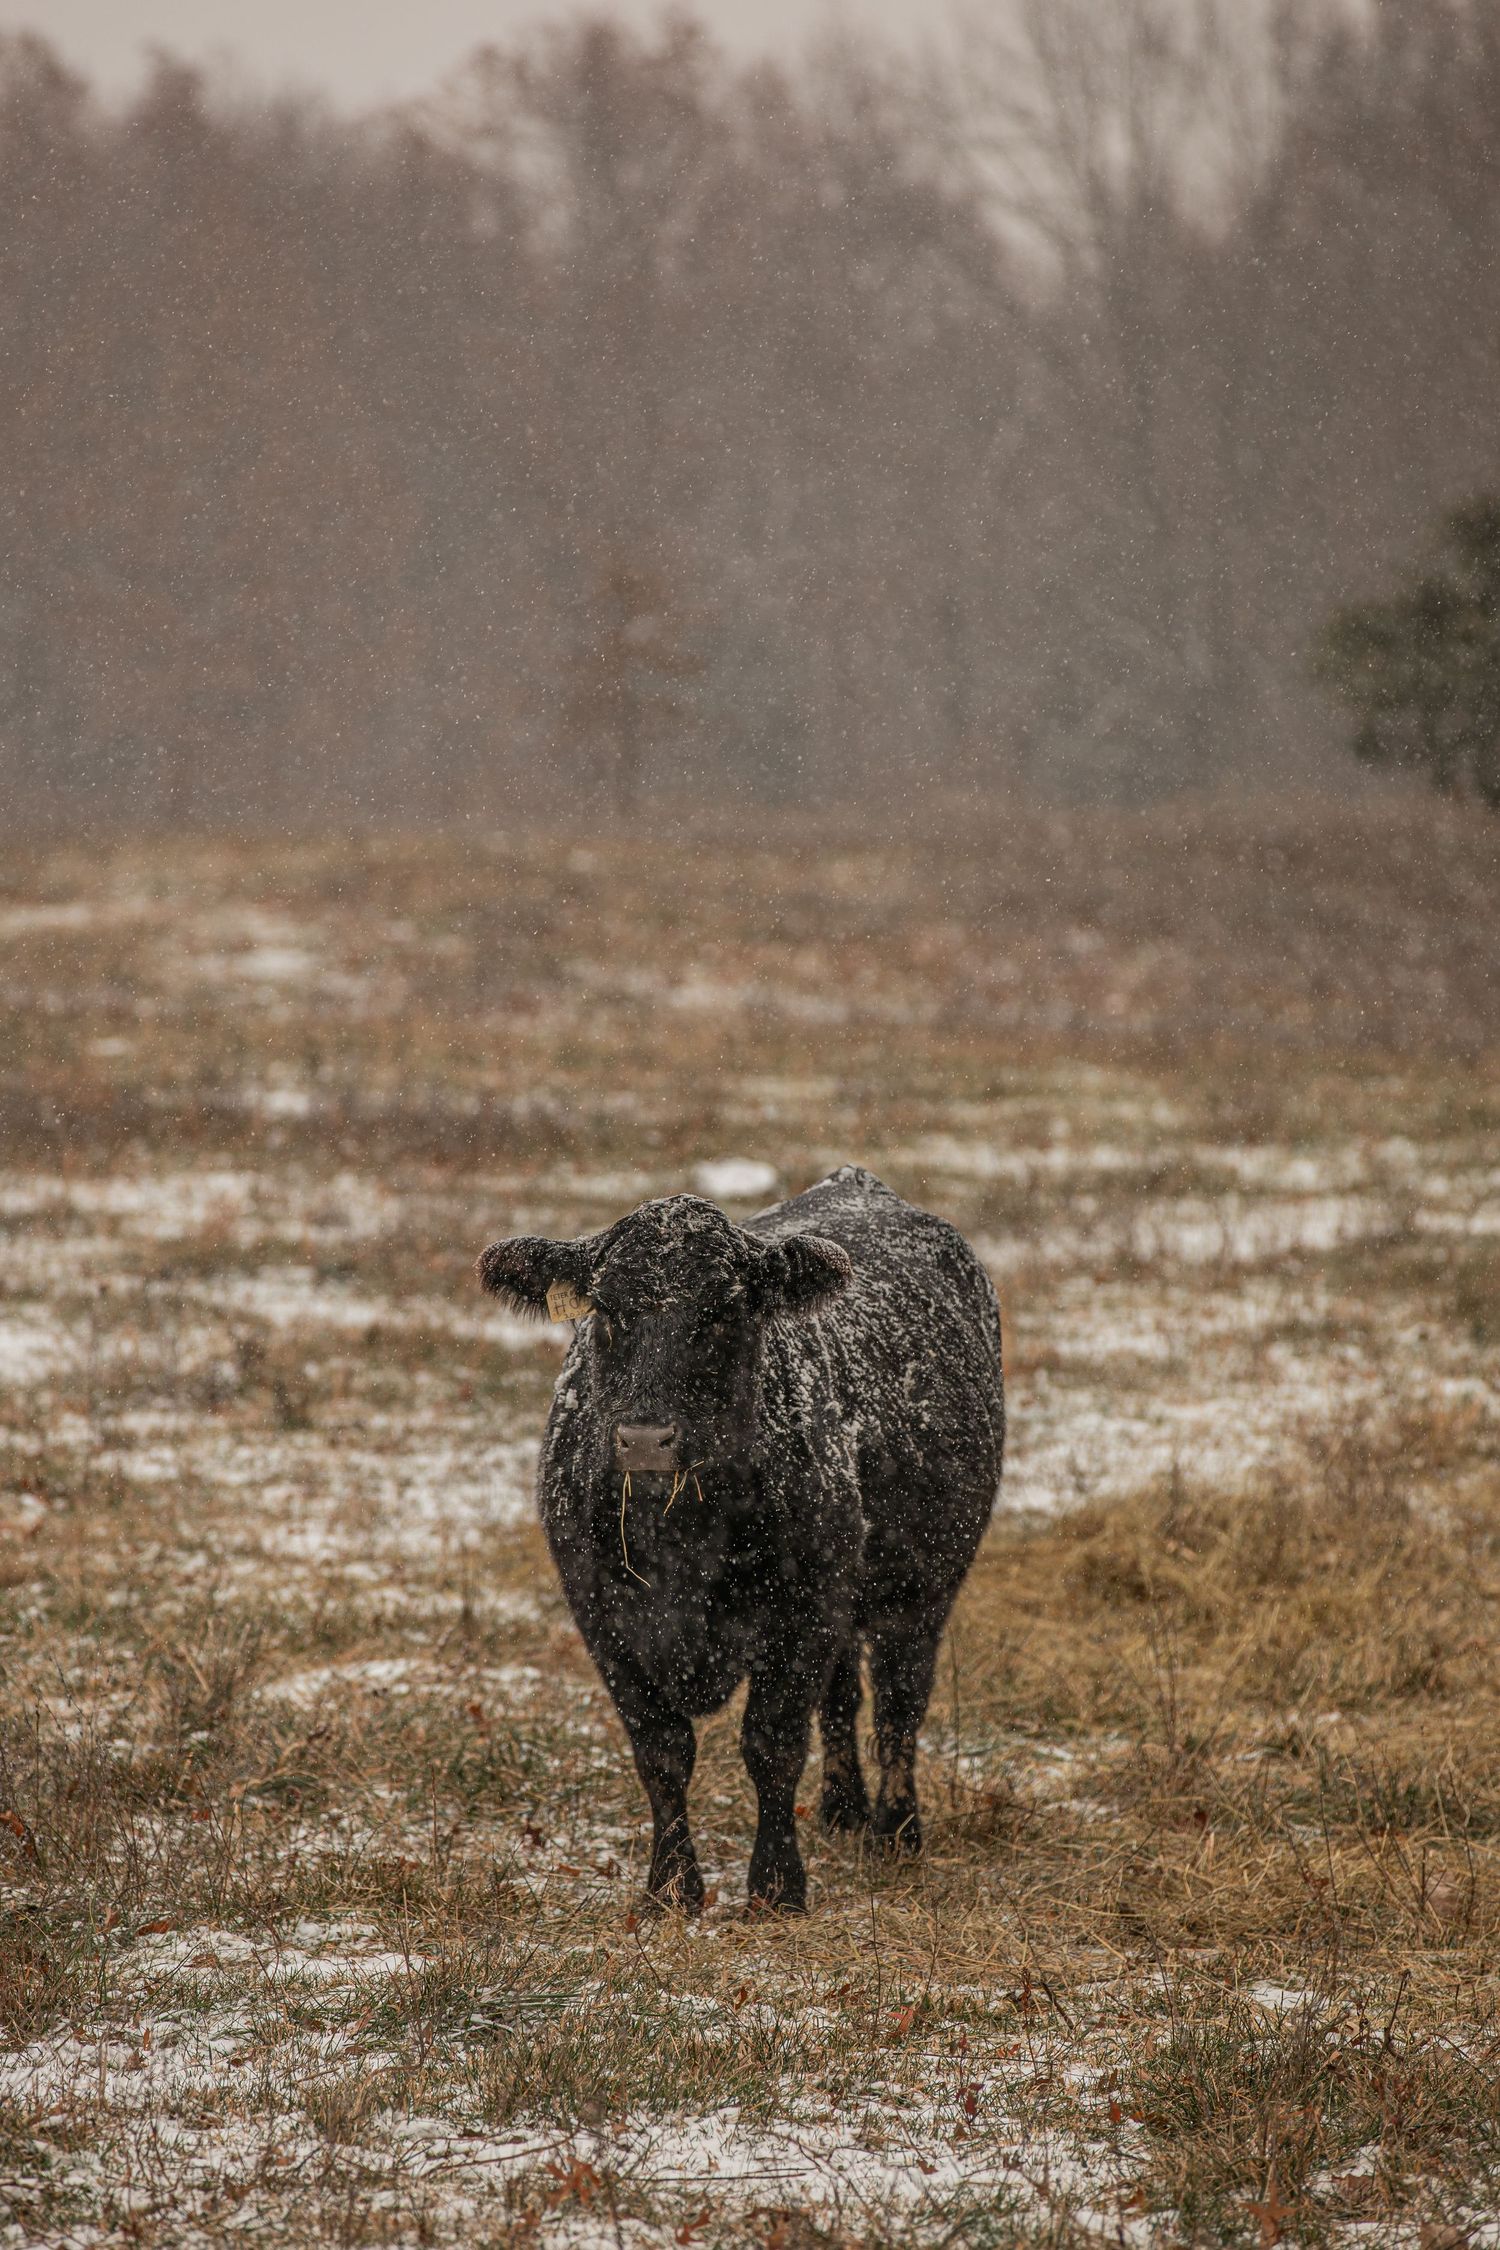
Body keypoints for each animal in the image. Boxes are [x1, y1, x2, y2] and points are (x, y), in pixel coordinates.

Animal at [476, 1164, 1004, 1913]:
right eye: (607, 1311)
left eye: (724, 1312)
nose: (645, 1438)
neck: (680, 1540)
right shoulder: (603, 1618)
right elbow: (662, 1751)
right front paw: (671, 1887)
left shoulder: (800, 1614)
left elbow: (772, 1744)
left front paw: (777, 1887)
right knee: (843, 1699)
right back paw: (843, 1811)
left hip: (924, 1583)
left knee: (899, 1704)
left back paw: (896, 1832)